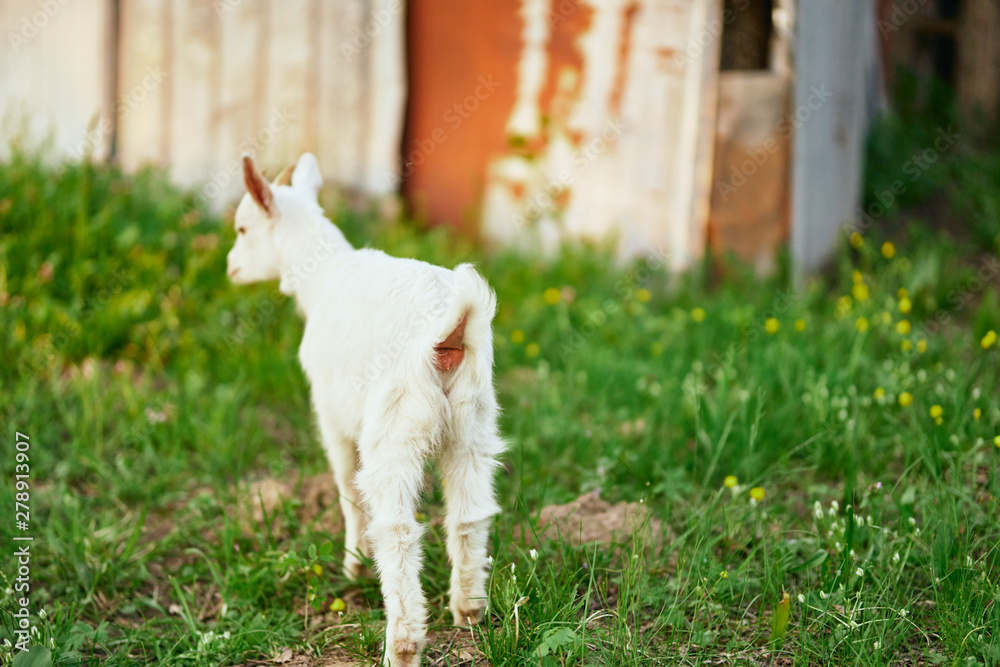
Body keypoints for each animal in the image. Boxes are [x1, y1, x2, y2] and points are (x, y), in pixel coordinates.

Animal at [225, 153, 504, 666]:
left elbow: (345, 490)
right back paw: (469, 614)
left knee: (396, 528)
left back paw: (402, 644)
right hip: (473, 422)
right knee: (470, 514)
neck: (322, 272)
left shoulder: (330, 412)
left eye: (242, 229)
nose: (232, 269)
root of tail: (453, 328)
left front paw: (351, 564)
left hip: (395, 424)